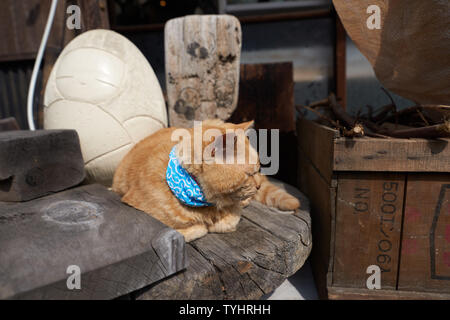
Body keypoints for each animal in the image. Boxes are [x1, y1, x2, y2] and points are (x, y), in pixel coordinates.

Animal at [112, 120, 298, 242]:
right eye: (249, 174)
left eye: (258, 170)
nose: (258, 186)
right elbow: (190, 231)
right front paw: (203, 226)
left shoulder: (233, 210)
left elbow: (231, 218)